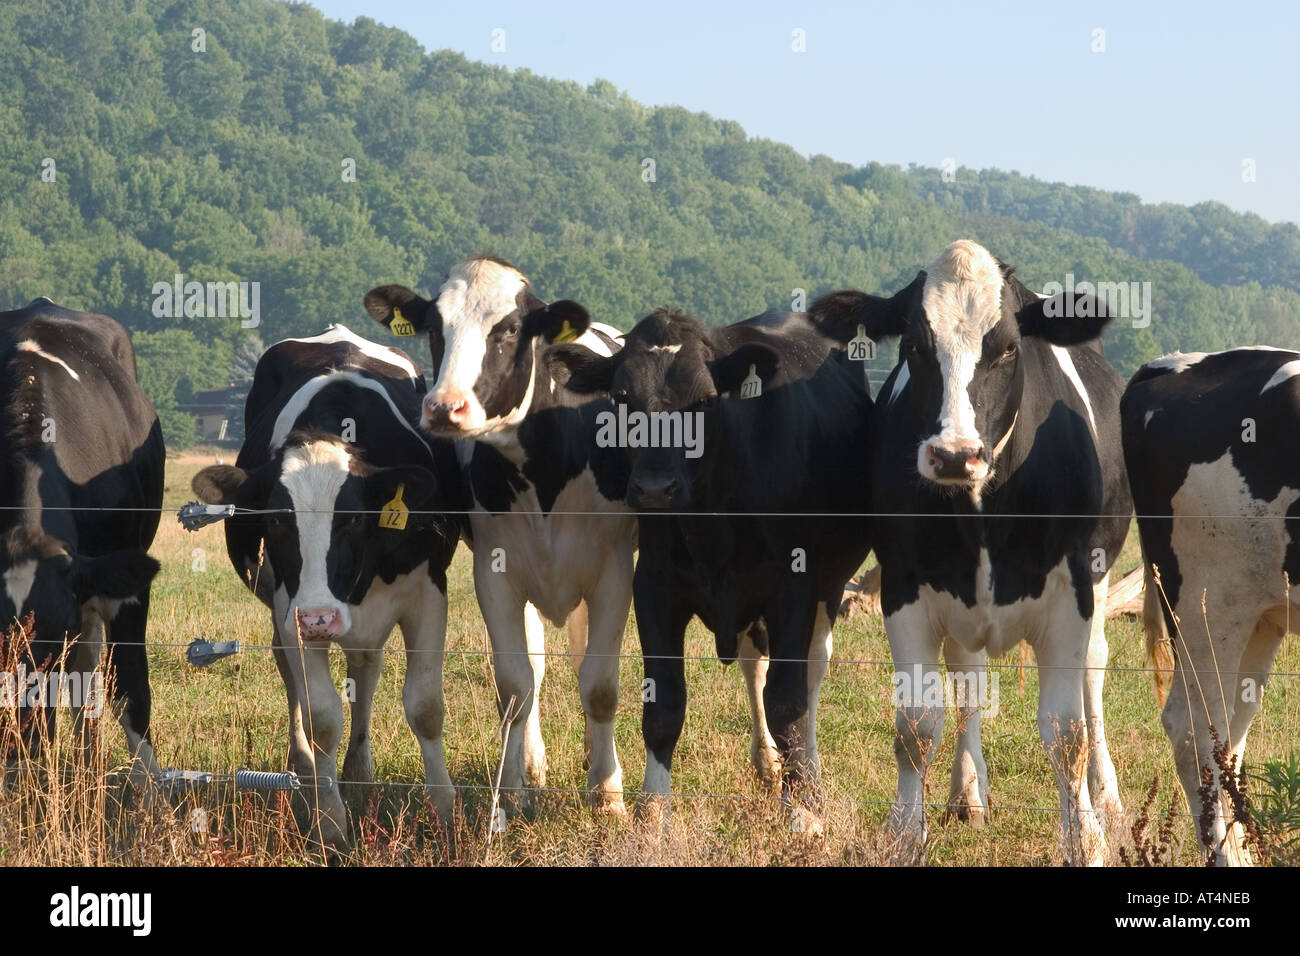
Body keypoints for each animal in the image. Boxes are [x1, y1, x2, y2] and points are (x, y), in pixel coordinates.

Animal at [0, 297, 163, 783]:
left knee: (90, 677)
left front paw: (151, 799)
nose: (19, 742)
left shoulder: (125, 586)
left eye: (56, 638)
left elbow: (130, 691)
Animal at [191, 325, 462, 849]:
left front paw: (444, 813)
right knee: (290, 671)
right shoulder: (290, 608)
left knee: (366, 668)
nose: (320, 617)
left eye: (353, 518)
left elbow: (425, 707)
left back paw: (359, 770)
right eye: (276, 520)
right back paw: (305, 767)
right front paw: (331, 823)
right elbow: (323, 716)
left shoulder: (427, 594)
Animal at [363, 257, 635, 815]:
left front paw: (608, 794)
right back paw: (534, 763)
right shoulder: (496, 573)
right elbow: (514, 686)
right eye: (433, 328)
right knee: (536, 666)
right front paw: (511, 791)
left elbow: (599, 685)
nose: (445, 407)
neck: (543, 471)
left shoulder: (615, 571)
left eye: (509, 330)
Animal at [546, 307, 872, 819]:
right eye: (621, 397)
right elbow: (663, 706)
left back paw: (806, 774)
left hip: (829, 586)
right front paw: (651, 814)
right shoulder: (654, 588)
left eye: (702, 401)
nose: (655, 489)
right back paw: (768, 764)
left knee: (811, 676)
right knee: (755, 666)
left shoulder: (793, 589)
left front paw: (803, 811)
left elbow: (788, 701)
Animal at [810, 240, 1131, 865]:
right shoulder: (905, 587)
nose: (956, 454)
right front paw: (905, 834)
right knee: (969, 681)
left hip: (1102, 576)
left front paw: (1084, 838)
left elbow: (1067, 732)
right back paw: (968, 793)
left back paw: (1106, 799)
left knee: (1094, 674)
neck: (983, 511)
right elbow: (916, 725)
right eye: (913, 346)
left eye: (1007, 347)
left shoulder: (1072, 594)